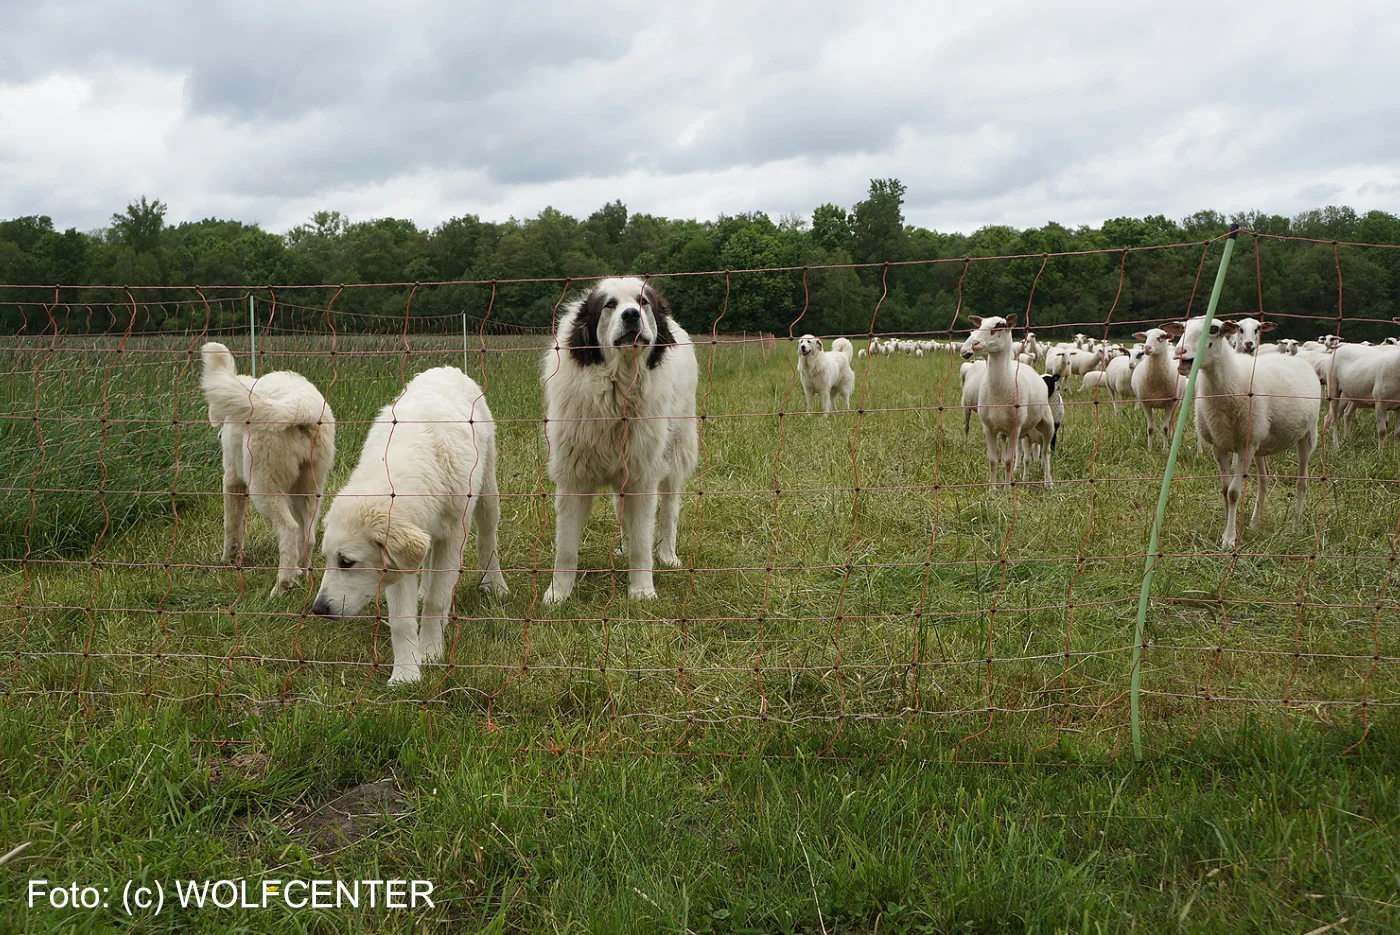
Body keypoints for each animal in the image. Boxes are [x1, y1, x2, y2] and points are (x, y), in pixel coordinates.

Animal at [198, 342, 334, 599]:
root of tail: (300, 407)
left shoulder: (232, 481)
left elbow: (231, 524)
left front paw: (228, 559)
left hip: (263, 486)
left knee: (289, 530)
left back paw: (282, 585)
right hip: (310, 488)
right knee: (308, 535)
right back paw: (300, 574)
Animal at [315, 366, 512, 685]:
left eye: (346, 562)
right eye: (328, 559)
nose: (318, 609)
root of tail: (447, 368)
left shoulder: (452, 537)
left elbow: (436, 601)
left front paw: (430, 652)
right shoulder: (398, 562)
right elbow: (402, 620)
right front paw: (406, 674)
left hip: (486, 494)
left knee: (487, 538)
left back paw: (495, 584)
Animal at [963, 316, 1052, 489]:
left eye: (999, 326)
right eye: (980, 325)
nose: (974, 344)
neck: (999, 390)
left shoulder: (1014, 429)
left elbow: (1009, 461)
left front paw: (1007, 490)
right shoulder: (989, 428)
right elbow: (994, 460)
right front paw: (993, 491)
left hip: (1047, 423)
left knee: (1045, 453)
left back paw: (1049, 483)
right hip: (1006, 431)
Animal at [1164, 316, 1316, 548]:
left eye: (1214, 329)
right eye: (1182, 328)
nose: (1180, 351)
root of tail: (1296, 359)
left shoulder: (1245, 447)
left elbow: (1234, 493)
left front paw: (1229, 539)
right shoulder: (1219, 446)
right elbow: (1225, 491)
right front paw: (1229, 530)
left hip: (1307, 434)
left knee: (1302, 482)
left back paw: (1296, 525)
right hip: (1260, 440)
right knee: (1264, 480)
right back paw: (1255, 522)